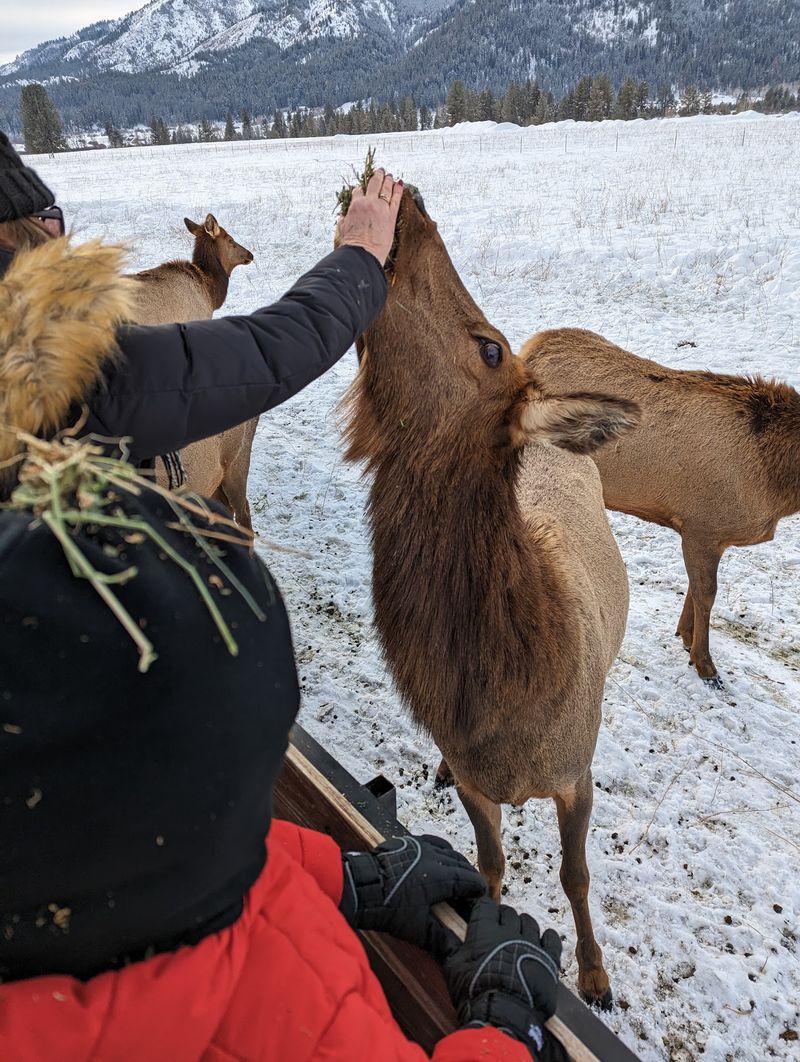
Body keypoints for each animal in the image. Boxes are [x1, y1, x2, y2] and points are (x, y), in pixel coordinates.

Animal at [341, 187, 641, 1006]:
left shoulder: (575, 775)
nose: (411, 202)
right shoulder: (479, 784)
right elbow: (490, 866)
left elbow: (575, 875)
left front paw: (595, 974)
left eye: (490, 348)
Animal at [524, 328, 800, 687]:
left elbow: (695, 590)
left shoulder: (706, 533)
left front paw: (685, 636)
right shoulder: (703, 526)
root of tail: (528, 350)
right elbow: (706, 594)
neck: (777, 489)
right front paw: (705, 664)